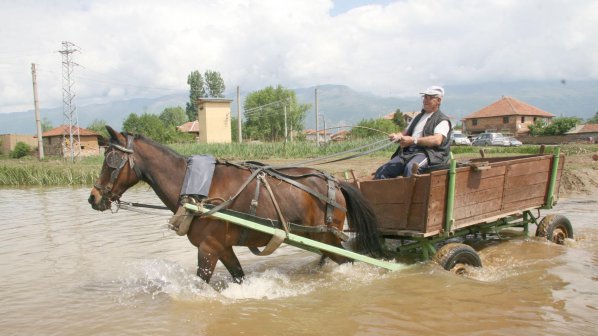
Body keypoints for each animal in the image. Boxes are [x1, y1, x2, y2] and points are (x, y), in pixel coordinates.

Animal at [88, 126, 384, 284]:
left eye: (111, 160)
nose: (93, 197)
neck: (196, 187)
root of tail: (335, 179)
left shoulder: (208, 248)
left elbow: (201, 283)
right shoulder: (223, 247)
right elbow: (239, 276)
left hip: (328, 237)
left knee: (349, 261)